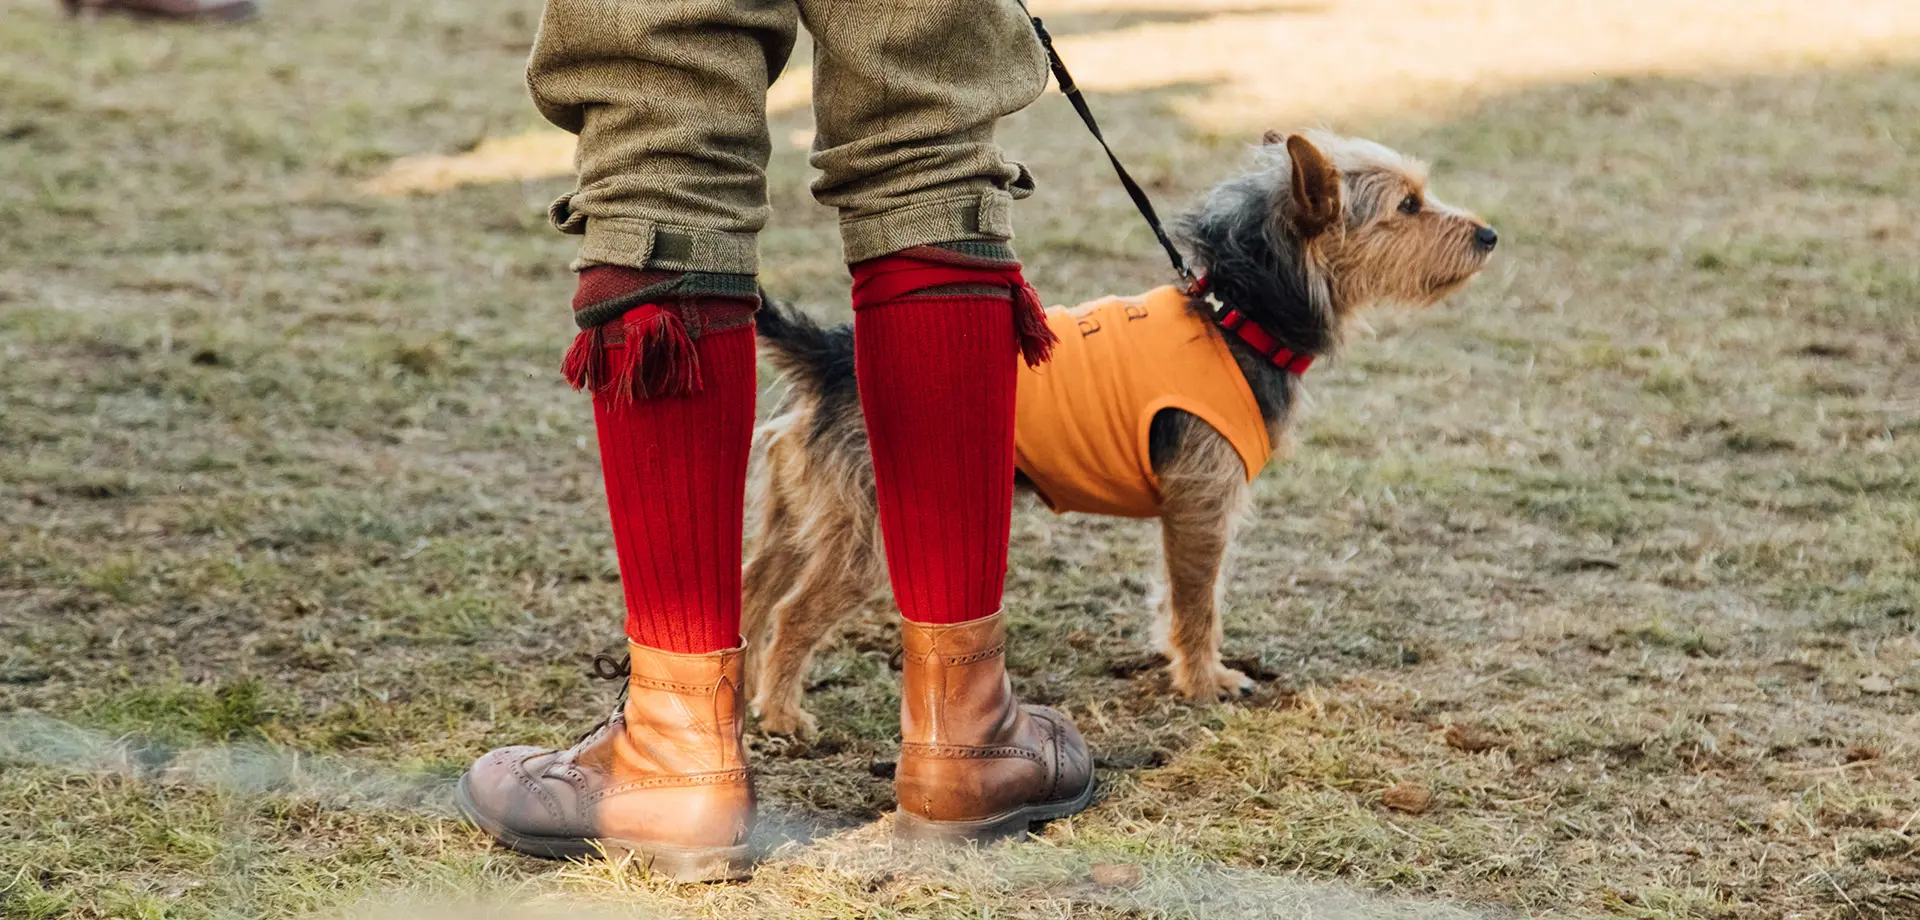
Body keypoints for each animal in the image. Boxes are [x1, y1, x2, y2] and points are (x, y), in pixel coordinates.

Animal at [741, 129, 1489, 737]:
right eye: (1409, 206)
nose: (1490, 235)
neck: (1236, 314)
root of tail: (833, 353)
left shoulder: (1186, 510)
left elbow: (1178, 598)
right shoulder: (1202, 507)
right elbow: (1198, 602)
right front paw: (1204, 683)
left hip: (800, 516)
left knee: (752, 590)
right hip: (868, 537)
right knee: (794, 614)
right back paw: (779, 713)